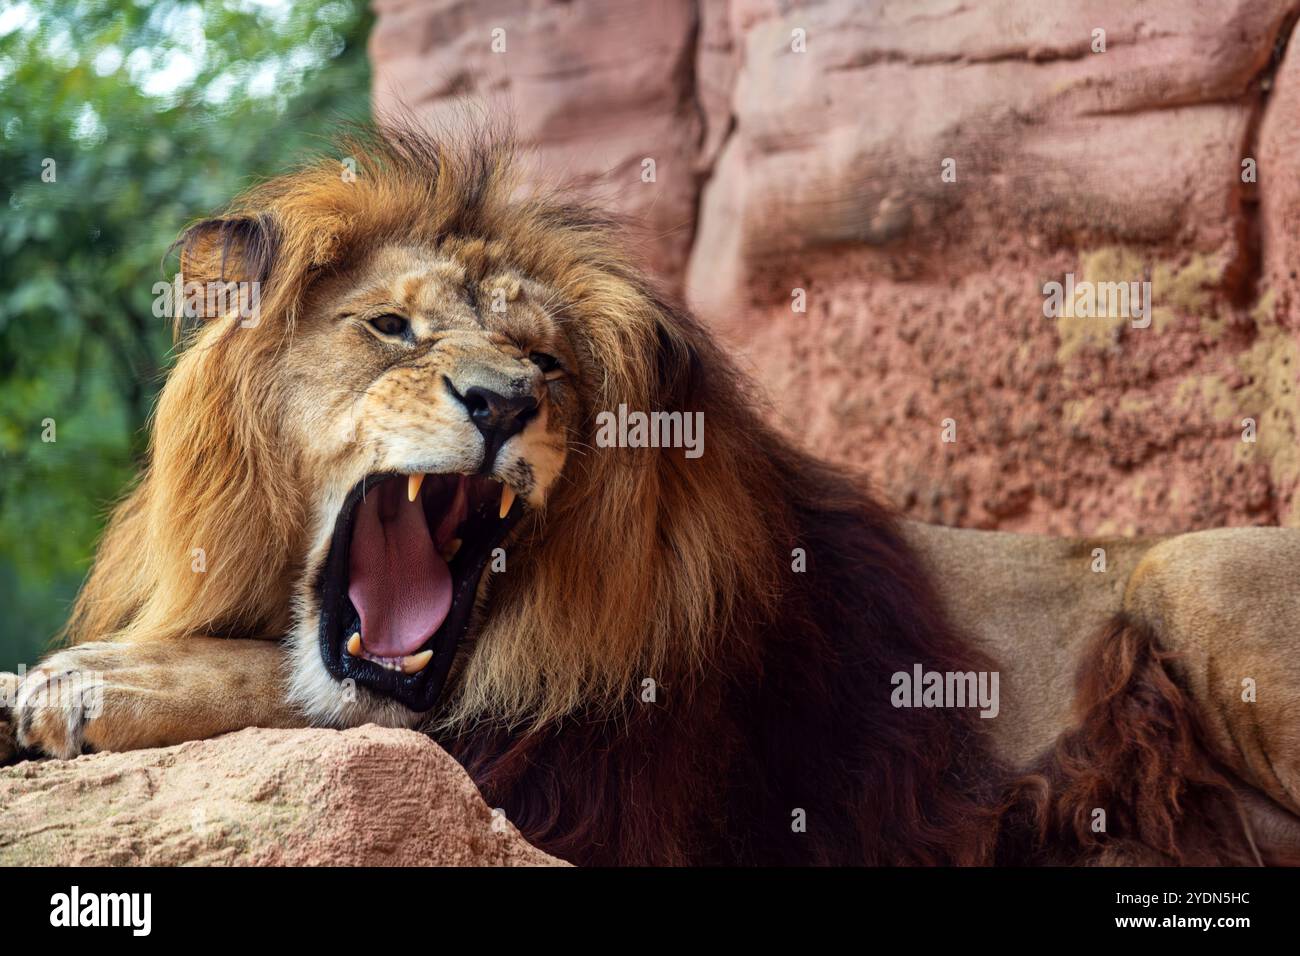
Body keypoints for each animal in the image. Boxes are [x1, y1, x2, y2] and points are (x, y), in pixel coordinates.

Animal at [2, 127, 1300, 868]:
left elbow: (307, 691)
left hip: (1187, 569)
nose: (500, 402)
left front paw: (88, 682)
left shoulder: (596, 771)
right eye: (391, 328)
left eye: (545, 360)